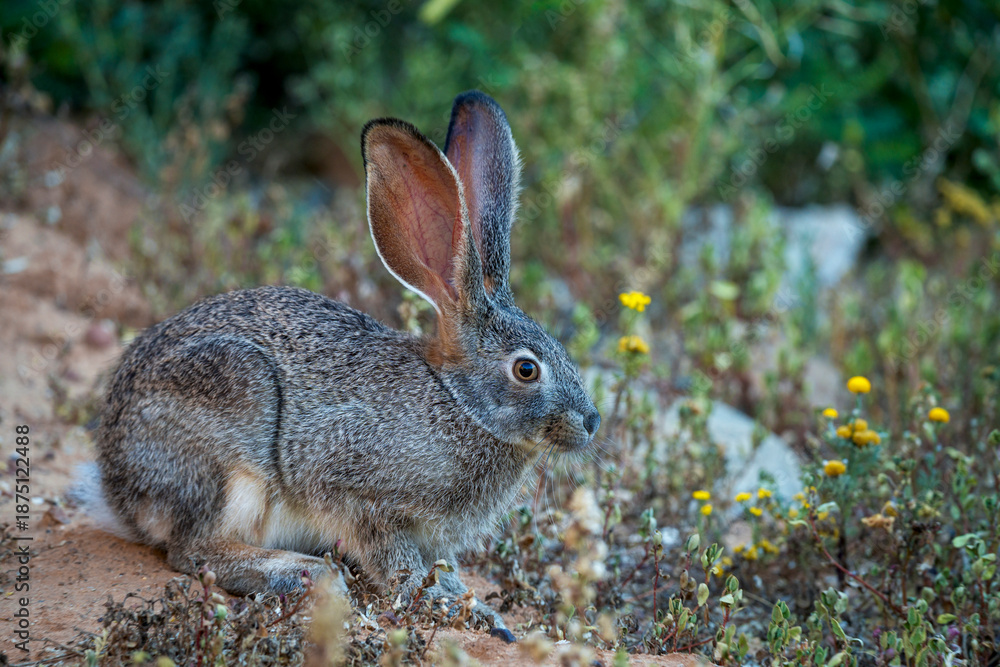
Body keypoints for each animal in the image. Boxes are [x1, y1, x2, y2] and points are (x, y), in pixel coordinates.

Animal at [80, 91, 600, 641]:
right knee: (194, 551)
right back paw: (300, 572)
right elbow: (397, 563)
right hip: (231, 439)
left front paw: (476, 608)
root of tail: (116, 485)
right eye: (526, 370)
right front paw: (444, 606)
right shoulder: (358, 495)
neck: (459, 402)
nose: (591, 422)